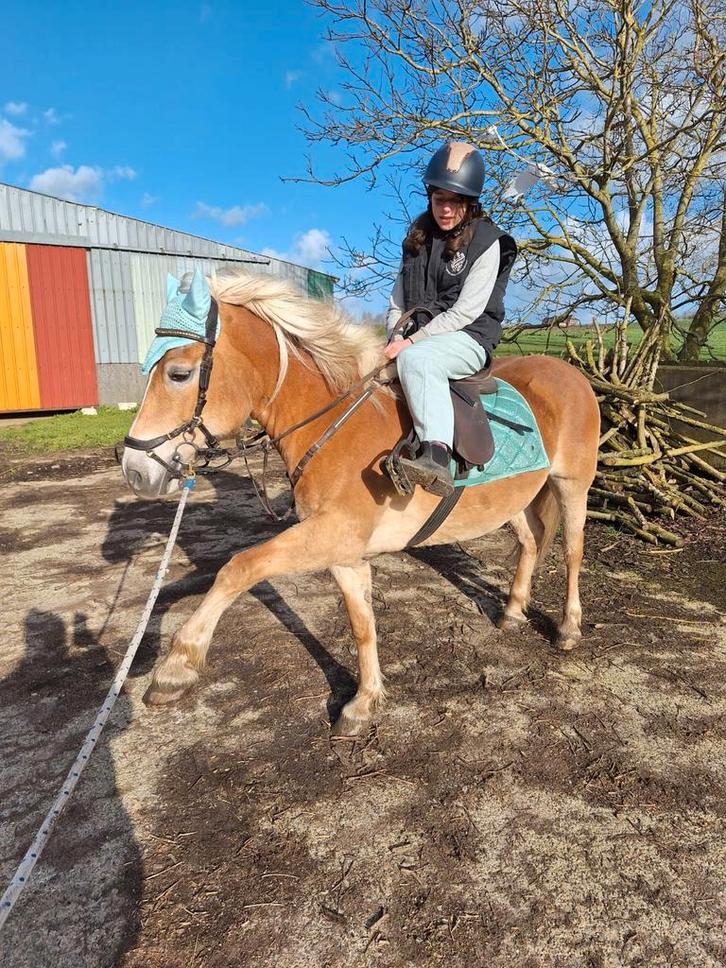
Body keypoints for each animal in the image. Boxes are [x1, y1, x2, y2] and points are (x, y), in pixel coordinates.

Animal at [121, 271, 600, 736]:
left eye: (178, 374)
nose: (134, 469)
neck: (335, 423)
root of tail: (570, 372)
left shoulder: (330, 534)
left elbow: (238, 568)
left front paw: (176, 667)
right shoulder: (344, 553)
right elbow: (362, 625)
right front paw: (364, 702)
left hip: (572, 486)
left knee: (573, 552)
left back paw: (569, 628)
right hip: (513, 500)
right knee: (530, 543)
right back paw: (513, 612)